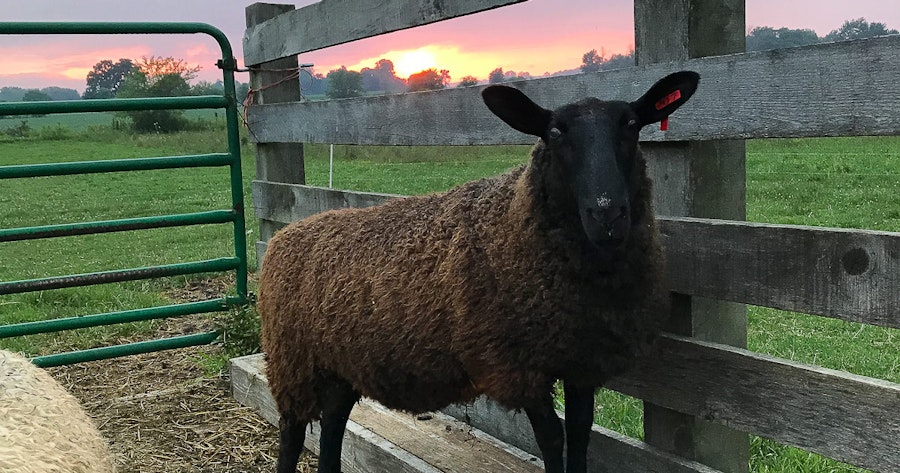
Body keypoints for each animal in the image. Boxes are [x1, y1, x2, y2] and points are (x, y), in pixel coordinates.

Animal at [258, 71, 700, 473]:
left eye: (632, 124)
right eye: (554, 132)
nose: (607, 214)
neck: (514, 220)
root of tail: (284, 235)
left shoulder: (582, 361)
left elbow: (579, 434)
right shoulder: (515, 365)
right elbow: (551, 438)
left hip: (340, 367)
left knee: (332, 425)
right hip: (292, 364)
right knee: (292, 435)